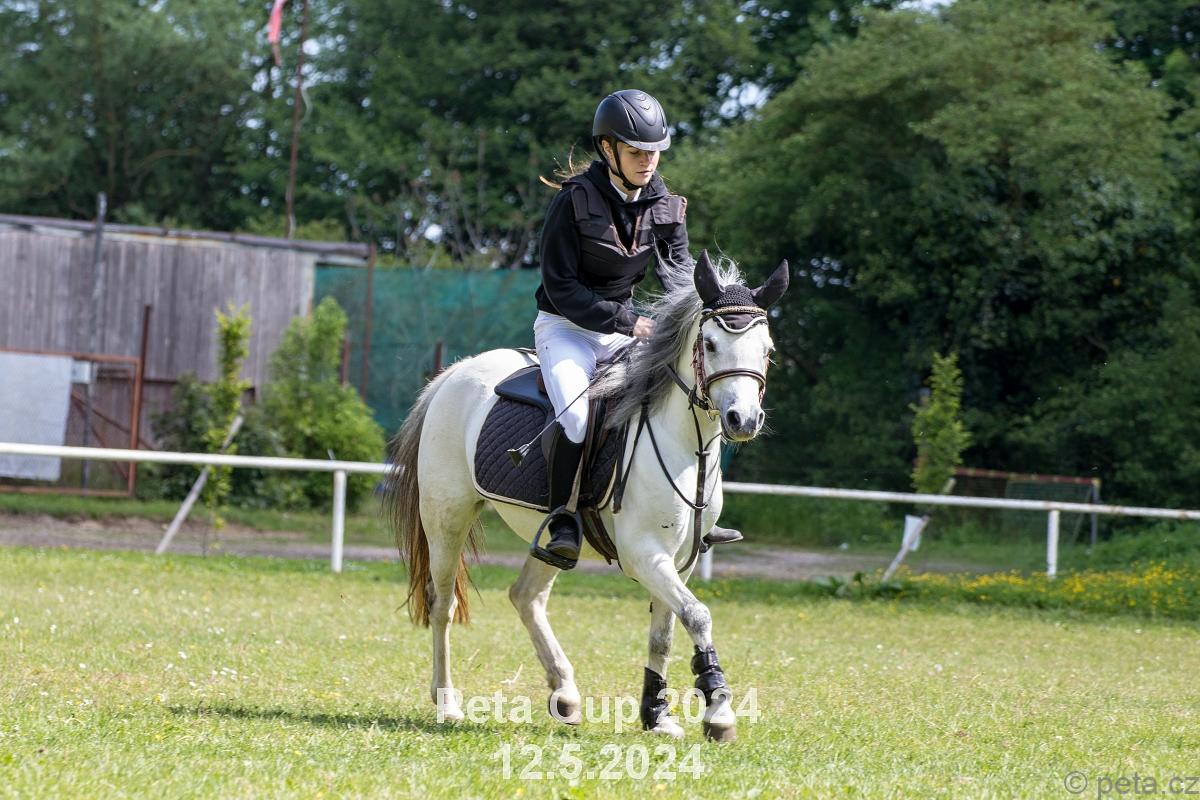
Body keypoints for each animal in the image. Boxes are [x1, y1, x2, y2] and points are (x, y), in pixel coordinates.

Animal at [384, 251, 789, 742]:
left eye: (767, 350)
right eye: (710, 344)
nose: (742, 420)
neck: (684, 443)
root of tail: (452, 375)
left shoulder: (680, 560)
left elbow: (664, 633)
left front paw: (656, 714)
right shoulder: (645, 554)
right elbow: (697, 616)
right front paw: (718, 711)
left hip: (548, 539)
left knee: (525, 596)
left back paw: (565, 694)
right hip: (447, 517)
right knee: (442, 605)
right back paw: (448, 703)